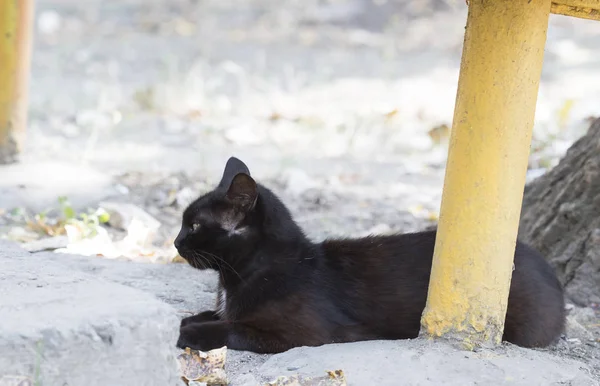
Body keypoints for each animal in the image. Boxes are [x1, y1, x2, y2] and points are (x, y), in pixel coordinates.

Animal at [172, 156, 564, 352]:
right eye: (184, 223)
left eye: (194, 226)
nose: (175, 242)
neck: (236, 277)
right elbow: (207, 314)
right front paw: (195, 320)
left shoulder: (299, 333)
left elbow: (233, 328)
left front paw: (194, 333)